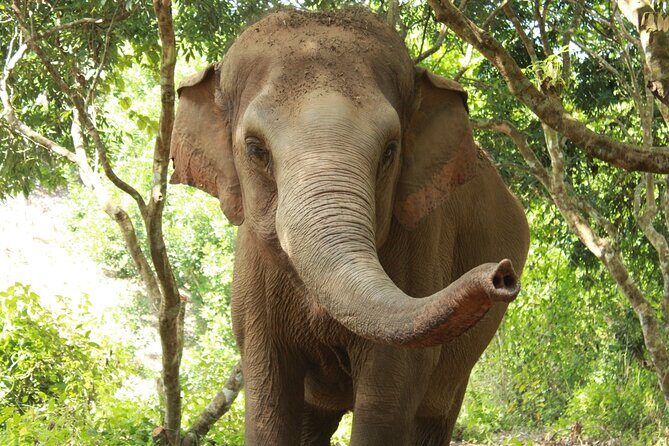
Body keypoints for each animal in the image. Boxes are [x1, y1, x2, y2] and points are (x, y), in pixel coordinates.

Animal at [169, 7, 529, 446]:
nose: (501, 274)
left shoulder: (419, 246)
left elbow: (386, 402)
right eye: (255, 150)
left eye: (390, 151)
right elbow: (269, 402)